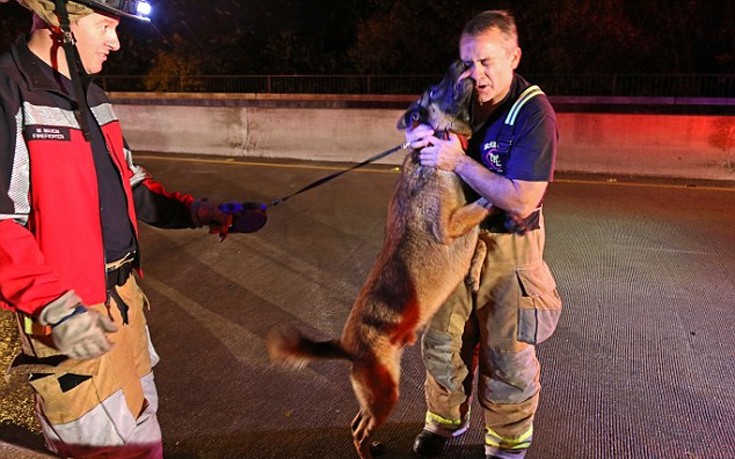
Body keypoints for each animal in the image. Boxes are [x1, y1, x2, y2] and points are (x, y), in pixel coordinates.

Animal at [268, 62, 492, 459]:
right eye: (433, 89)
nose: (460, 63)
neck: (431, 145)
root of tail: (348, 348)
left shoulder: (462, 232)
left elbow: (479, 240)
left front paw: (476, 269)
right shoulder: (450, 227)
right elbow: (479, 212)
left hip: (379, 392)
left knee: (357, 423)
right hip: (387, 392)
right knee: (358, 431)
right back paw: (368, 451)